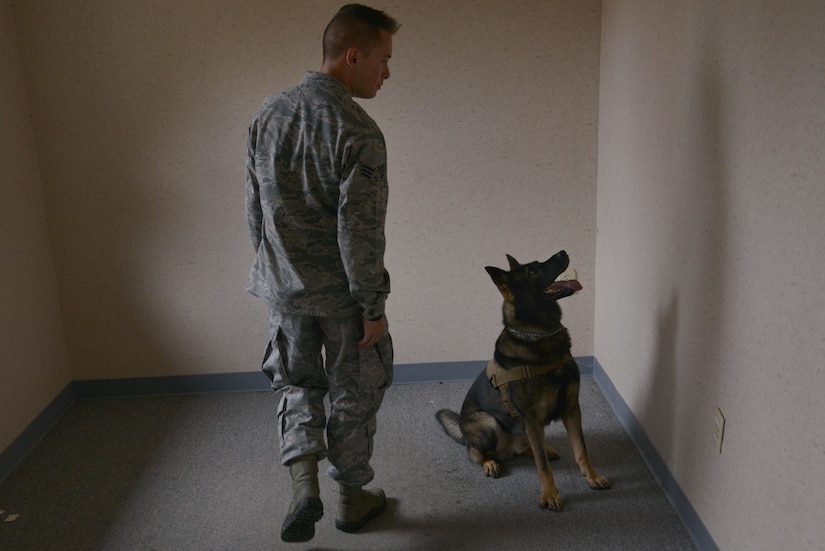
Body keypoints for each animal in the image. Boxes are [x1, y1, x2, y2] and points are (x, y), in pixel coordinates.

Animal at [434, 252, 608, 512]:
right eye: (533, 271)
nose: (563, 252)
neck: (540, 334)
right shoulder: (533, 420)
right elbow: (543, 467)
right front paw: (549, 494)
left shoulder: (571, 409)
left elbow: (581, 450)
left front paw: (592, 477)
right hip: (488, 423)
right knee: (476, 453)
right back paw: (490, 462)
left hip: (525, 432)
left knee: (529, 449)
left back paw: (540, 448)